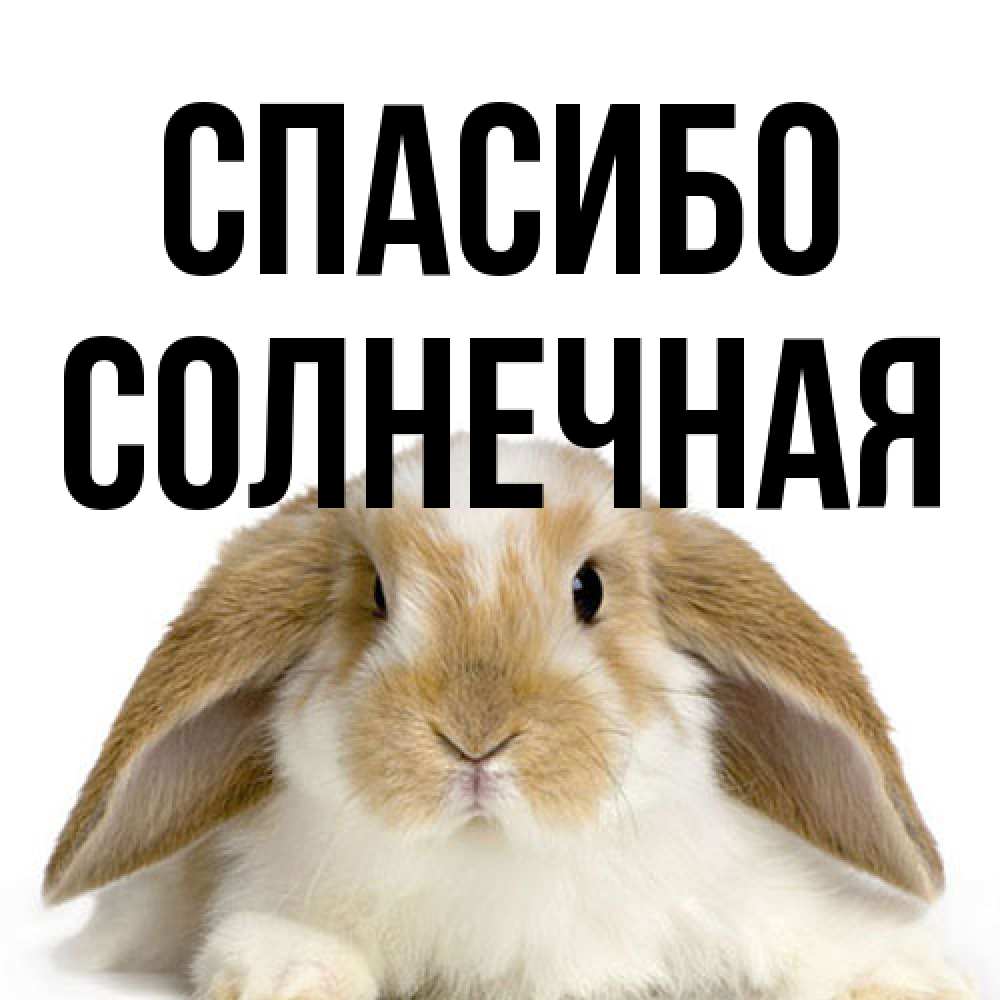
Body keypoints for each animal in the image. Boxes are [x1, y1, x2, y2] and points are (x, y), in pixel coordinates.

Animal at [45, 435, 975, 1000]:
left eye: (589, 589)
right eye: (376, 596)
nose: (475, 737)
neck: (496, 856)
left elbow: (817, 938)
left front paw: (911, 978)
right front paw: (292, 977)